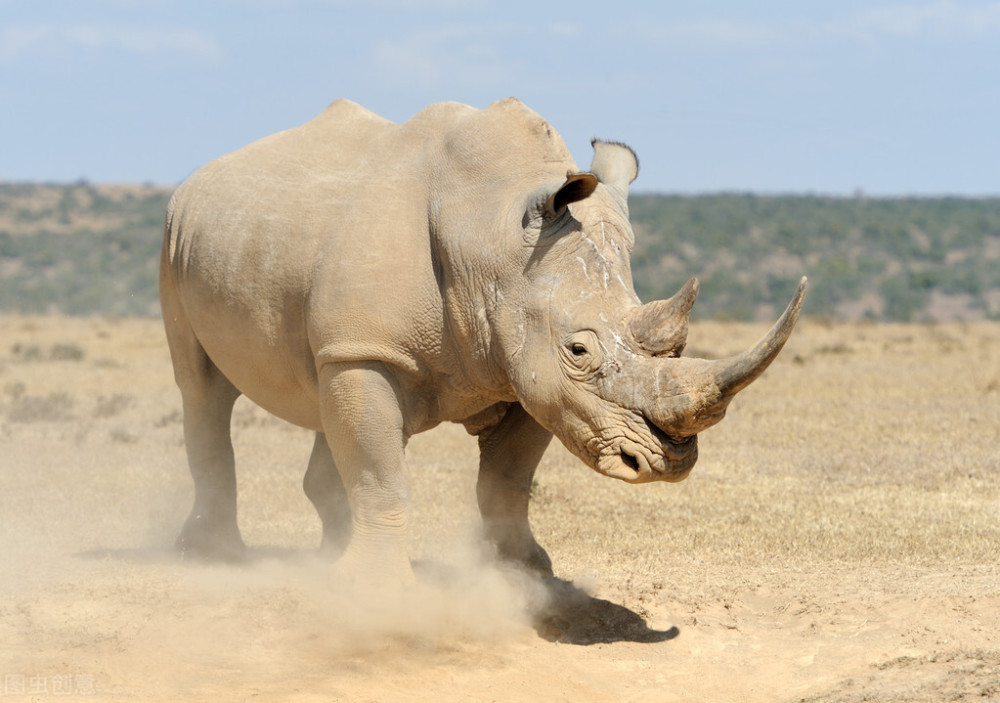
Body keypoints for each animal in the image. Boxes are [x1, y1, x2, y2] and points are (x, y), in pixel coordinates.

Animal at [160, 99, 808, 584]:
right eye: (580, 352)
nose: (665, 463)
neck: (489, 237)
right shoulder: (374, 349)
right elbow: (379, 472)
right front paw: (374, 587)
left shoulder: (523, 366)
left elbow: (506, 481)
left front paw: (526, 573)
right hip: (174, 233)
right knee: (202, 390)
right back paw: (214, 557)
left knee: (322, 396)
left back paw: (324, 556)